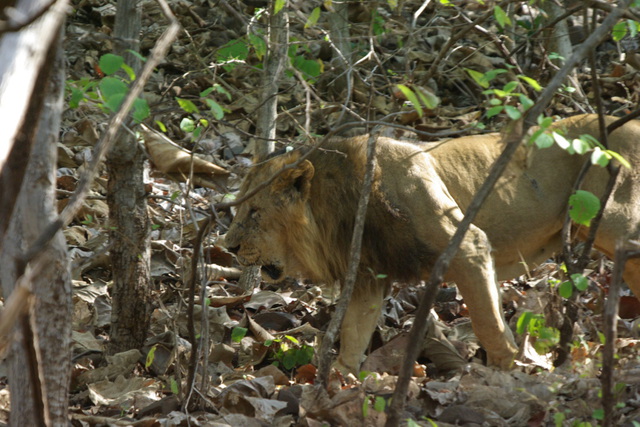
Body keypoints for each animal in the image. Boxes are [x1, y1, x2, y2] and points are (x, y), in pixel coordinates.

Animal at [224, 114, 640, 374]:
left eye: (255, 212)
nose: (228, 247)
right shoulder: (367, 275)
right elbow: (354, 334)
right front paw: (339, 380)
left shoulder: (469, 245)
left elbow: (488, 322)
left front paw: (505, 372)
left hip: (619, 229)